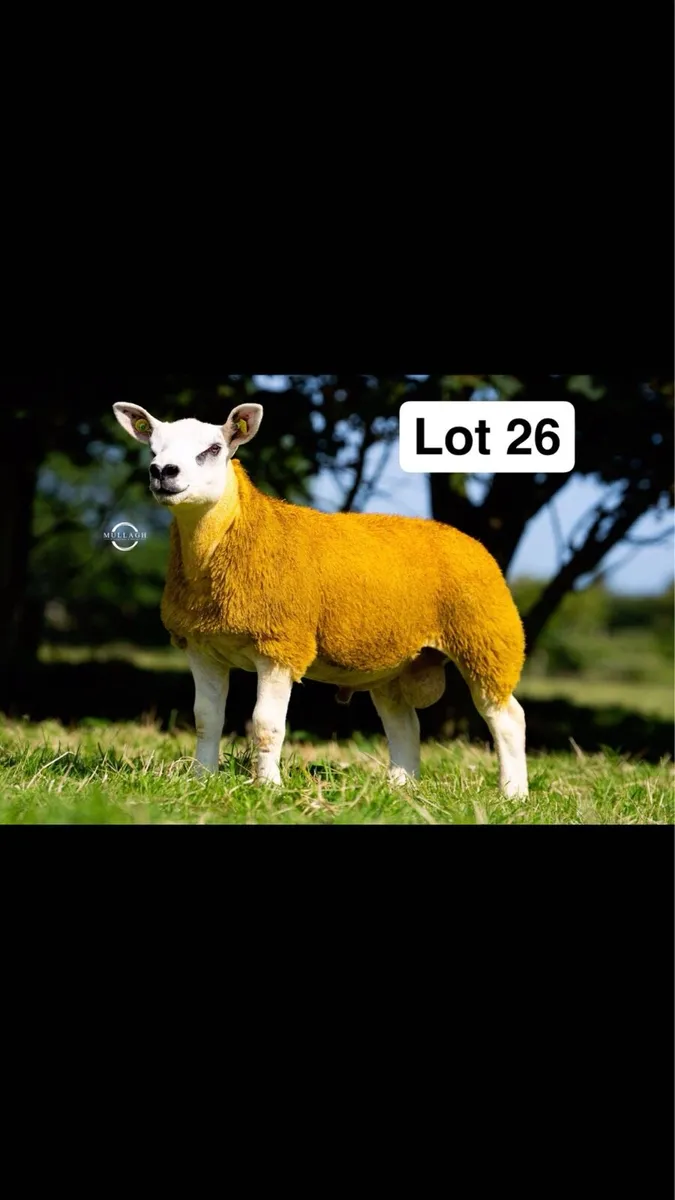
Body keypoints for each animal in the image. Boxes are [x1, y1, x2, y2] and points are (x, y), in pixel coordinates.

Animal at [113, 400, 528, 797]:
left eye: (213, 449)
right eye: (152, 449)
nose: (162, 471)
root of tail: (468, 540)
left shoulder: (281, 644)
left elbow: (266, 724)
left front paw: (268, 787)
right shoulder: (201, 646)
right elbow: (206, 719)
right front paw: (201, 780)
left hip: (487, 639)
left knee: (507, 717)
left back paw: (513, 795)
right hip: (394, 660)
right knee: (405, 724)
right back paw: (401, 790)